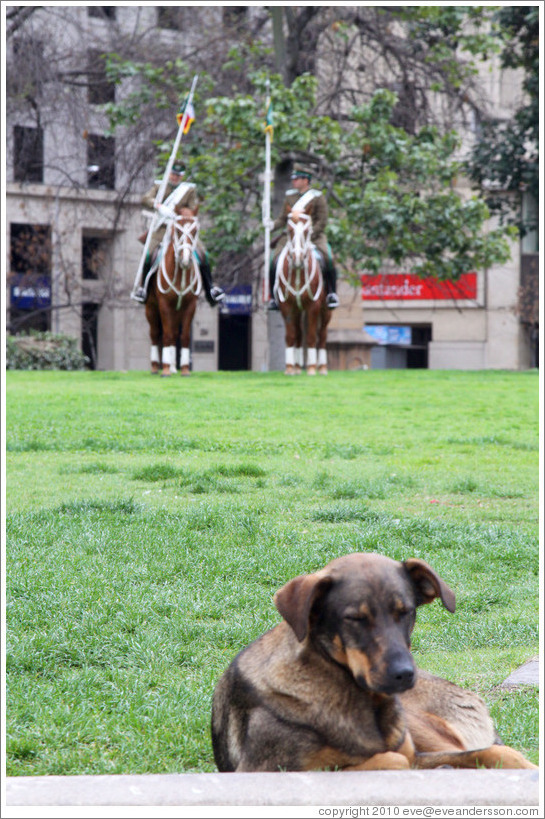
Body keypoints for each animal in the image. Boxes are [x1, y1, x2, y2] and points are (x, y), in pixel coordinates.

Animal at [144, 210, 202, 380]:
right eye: (177, 230)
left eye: (195, 231)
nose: (186, 259)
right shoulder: (164, 305)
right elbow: (167, 335)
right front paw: (165, 370)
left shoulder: (190, 306)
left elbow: (184, 336)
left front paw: (184, 369)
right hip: (151, 308)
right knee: (155, 334)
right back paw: (156, 366)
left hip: (177, 312)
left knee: (175, 333)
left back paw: (173, 366)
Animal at [211, 556, 536, 772]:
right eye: (355, 618)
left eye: (406, 612)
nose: (404, 675)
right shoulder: (267, 771)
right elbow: (390, 760)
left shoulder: (416, 753)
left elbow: (497, 753)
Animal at [274, 211, 330, 378]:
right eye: (289, 231)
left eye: (306, 231)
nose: (297, 258)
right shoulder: (286, 306)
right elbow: (291, 336)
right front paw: (290, 368)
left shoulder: (313, 306)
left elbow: (311, 336)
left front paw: (311, 368)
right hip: (297, 310)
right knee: (298, 334)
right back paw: (298, 367)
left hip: (326, 311)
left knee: (322, 335)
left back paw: (322, 367)